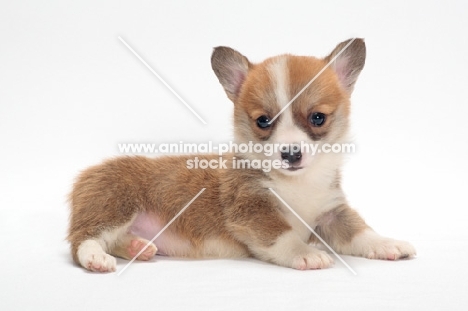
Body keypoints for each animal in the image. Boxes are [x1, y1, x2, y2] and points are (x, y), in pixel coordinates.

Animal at [67, 39, 414, 272]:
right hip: (116, 205)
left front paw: (387, 243)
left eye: (317, 118)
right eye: (263, 121)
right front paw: (305, 253)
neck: (298, 183)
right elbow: (283, 235)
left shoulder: (331, 212)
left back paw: (138, 246)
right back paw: (96, 258)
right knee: (83, 239)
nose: (290, 154)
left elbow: (360, 231)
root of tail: (86, 177)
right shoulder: (252, 210)